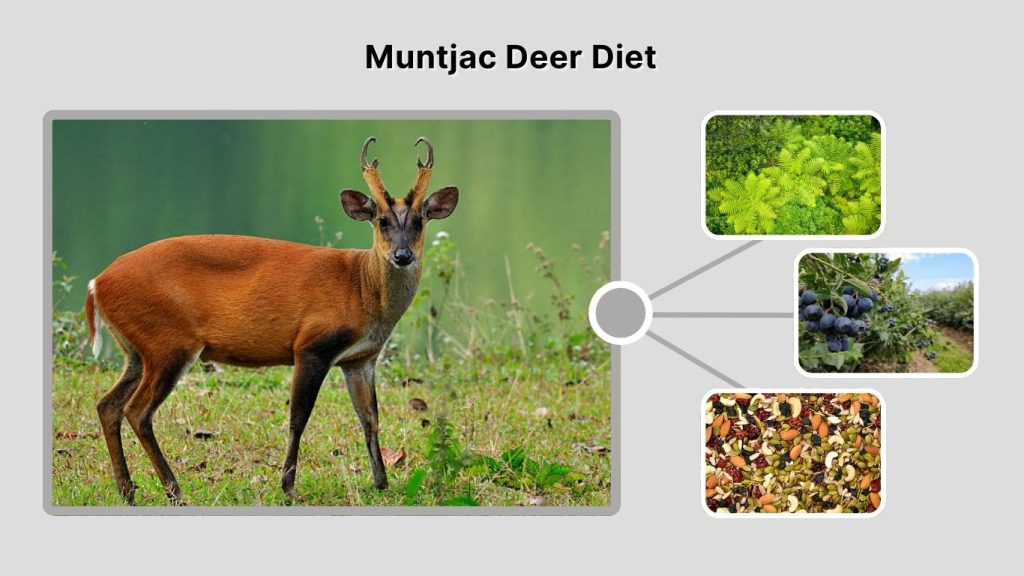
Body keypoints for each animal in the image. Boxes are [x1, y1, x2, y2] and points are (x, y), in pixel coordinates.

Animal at [84, 137, 459, 504]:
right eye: (381, 220)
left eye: (420, 221)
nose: (402, 255)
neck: (362, 288)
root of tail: (97, 284)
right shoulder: (312, 345)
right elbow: (298, 418)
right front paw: (288, 486)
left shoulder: (360, 358)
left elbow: (370, 418)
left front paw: (382, 483)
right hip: (168, 342)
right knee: (137, 411)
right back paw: (174, 490)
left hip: (138, 349)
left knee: (108, 405)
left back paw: (128, 490)